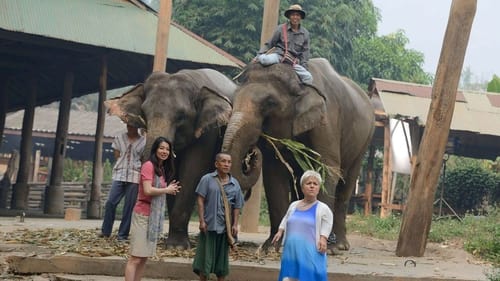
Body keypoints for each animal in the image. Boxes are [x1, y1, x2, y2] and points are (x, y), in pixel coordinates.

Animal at [104, 68, 236, 247]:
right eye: (144, 114)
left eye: (181, 116)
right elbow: (173, 176)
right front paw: (173, 243)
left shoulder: (207, 134)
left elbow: (192, 172)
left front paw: (177, 246)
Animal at [223, 57, 376, 252]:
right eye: (233, 99)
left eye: (269, 103)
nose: (252, 154)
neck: (300, 83)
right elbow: (274, 174)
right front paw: (271, 247)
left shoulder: (326, 121)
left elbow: (328, 169)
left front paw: (324, 247)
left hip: (365, 140)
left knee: (346, 184)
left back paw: (339, 246)